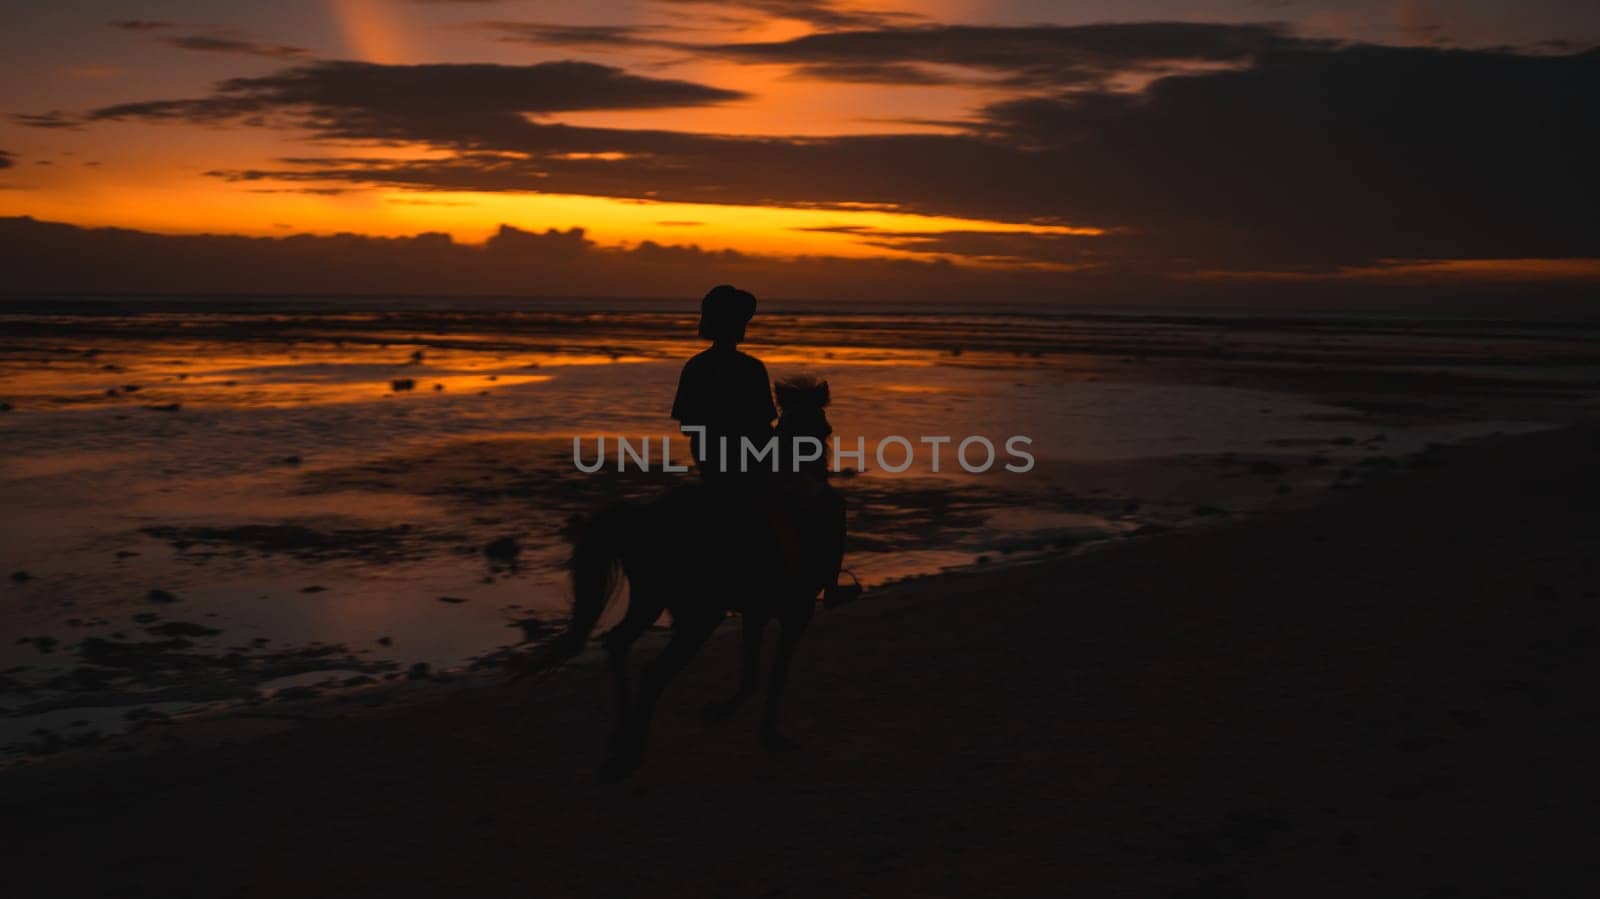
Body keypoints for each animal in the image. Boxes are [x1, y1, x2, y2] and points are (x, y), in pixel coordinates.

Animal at [537, 374, 838, 774]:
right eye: (823, 429)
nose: (820, 474)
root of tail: (643, 517)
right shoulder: (795, 614)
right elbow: (774, 675)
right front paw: (763, 732)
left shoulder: (757, 613)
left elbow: (753, 675)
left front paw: (727, 716)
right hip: (698, 617)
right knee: (653, 672)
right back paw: (631, 753)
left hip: (649, 601)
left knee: (618, 643)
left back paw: (621, 735)